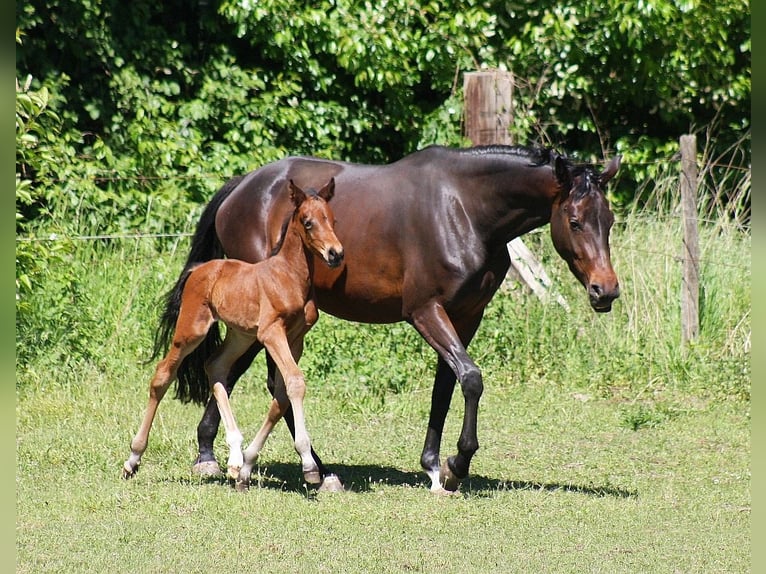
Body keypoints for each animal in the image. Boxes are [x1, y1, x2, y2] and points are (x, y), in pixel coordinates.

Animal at [123, 178, 344, 487]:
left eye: (332, 220)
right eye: (308, 222)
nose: (336, 254)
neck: (289, 276)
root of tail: (198, 269)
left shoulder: (296, 338)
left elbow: (282, 394)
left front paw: (249, 463)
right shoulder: (272, 333)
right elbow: (295, 382)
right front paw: (309, 466)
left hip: (241, 335)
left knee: (215, 366)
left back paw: (236, 458)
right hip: (192, 329)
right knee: (163, 375)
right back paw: (133, 459)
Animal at [156, 144, 621, 495]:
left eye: (610, 220)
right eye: (575, 221)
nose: (606, 291)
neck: (465, 210)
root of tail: (242, 186)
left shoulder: (465, 316)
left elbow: (446, 386)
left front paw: (435, 467)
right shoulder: (426, 312)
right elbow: (471, 378)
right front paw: (457, 463)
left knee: (235, 372)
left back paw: (214, 455)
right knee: (266, 380)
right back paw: (312, 470)